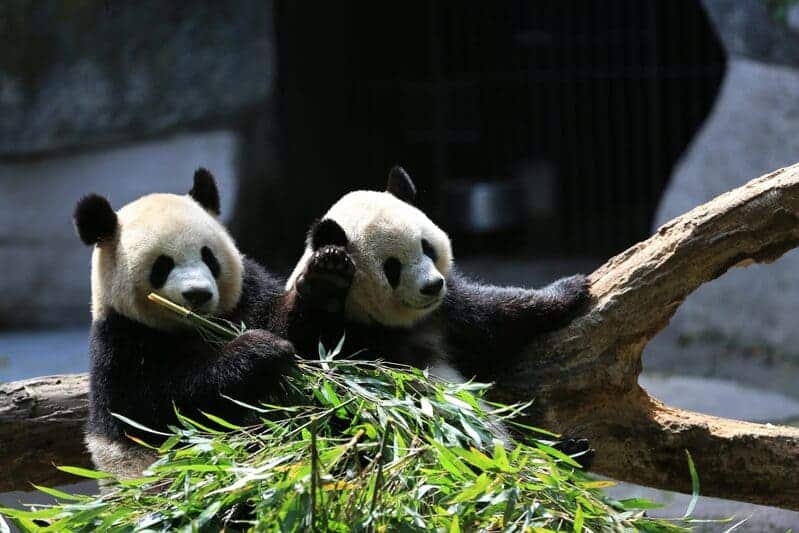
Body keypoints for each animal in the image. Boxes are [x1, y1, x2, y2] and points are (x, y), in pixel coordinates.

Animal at [73, 168, 296, 480]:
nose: (198, 294)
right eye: (162, 266)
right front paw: (259, 350)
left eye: (208, 256)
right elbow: (165, 406)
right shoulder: (121, 343)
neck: (195, 327)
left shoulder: (248, 297)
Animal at [286, 164, 588, 384]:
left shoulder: (448, 312)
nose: (432, 286)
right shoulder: (347, 334)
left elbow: (499, 314)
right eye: (392, 267)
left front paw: (570, 287)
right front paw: (326, 279)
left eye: (427, 248)